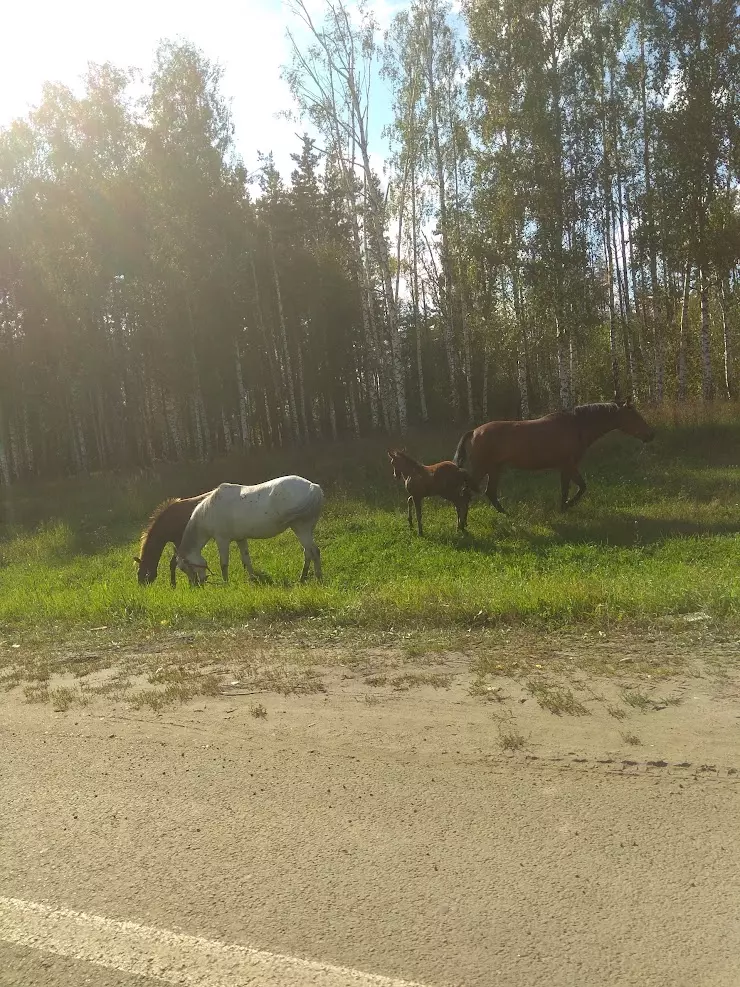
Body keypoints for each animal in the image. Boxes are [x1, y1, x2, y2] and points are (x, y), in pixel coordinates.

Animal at [175, 476, 326, 588]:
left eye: (184, 567)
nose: (196, 586)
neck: (209, 511)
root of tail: (314, 487)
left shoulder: (222, 540)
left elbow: (223, 563)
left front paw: (226, 584)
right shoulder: (241, 539)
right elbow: (246, 560)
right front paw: (253, 579)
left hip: (301, 528)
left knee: (314, 551)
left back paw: (319, 579)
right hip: (307, 529)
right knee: (308, 552)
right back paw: (302, 578)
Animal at [450, 396, 652, 512]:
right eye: (634, 415)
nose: (651, 434)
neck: (576, 425)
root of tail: (474, 432)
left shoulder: (569, 466)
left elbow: (577, 487)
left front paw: (565, 506)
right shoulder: (568, 465)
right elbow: (572, 488)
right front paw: (565, 506)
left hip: (494, 469)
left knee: (489, 492)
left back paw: (505, 514)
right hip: (482, 468)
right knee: (467, 493)